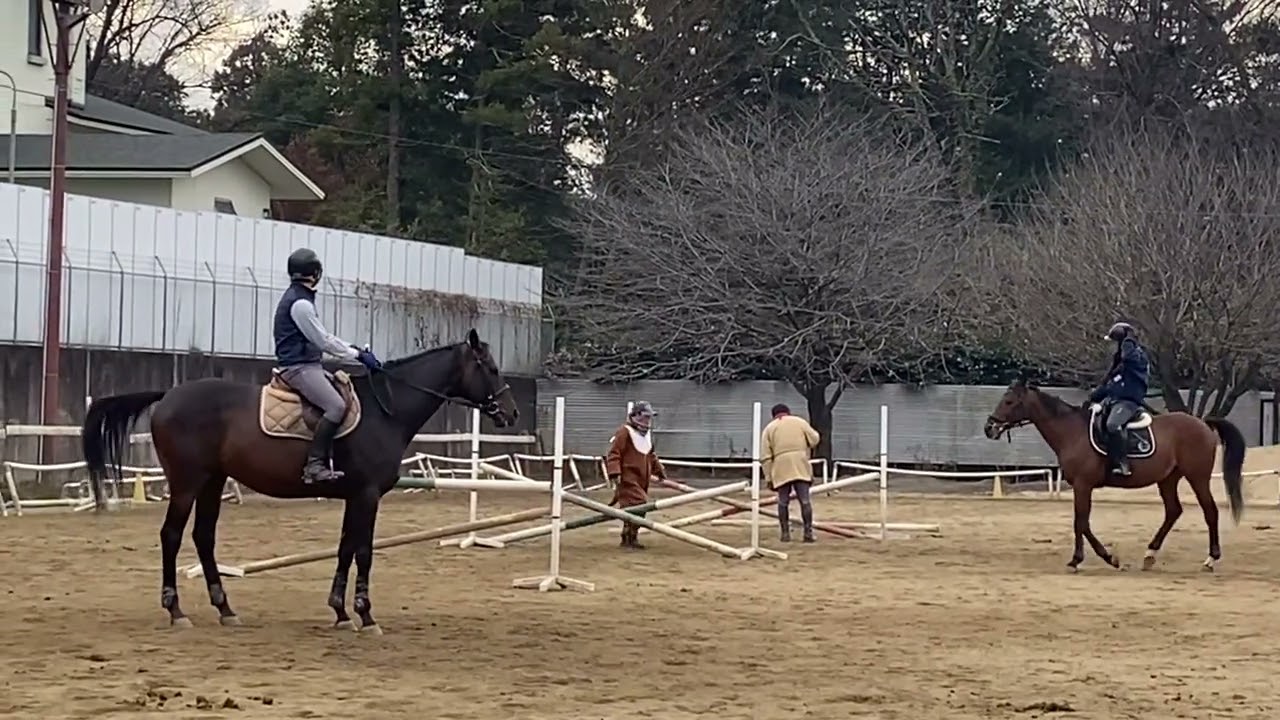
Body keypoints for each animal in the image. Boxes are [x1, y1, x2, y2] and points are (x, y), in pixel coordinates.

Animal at [81, 329, 519, 633]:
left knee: (203, 537)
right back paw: (176, 610)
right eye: (491, 368)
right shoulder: (368, 495)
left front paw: (340, 612)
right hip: (188, 483)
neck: (386, 410)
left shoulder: (354, 496)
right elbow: (364, 552)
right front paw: (365, 616)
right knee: (171, 536)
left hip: (213, 482)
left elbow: (345, 549)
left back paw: (225, 609)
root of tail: (168, 395)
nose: (511, 413)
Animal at [983, 378, 1245, 572]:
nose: (989, 428)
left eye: (1009, 401)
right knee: (1173, 511)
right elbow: (1081, 522)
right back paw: (1150, 555)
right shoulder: (1081, 486)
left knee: (1210, 511)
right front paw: (1095, 558)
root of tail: (1202, 423)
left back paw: (1210, 559)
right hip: (1168, 479)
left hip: (1197, 477)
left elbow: (1081, 522)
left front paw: (1093, 558)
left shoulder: (1083, 484)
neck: (1072, 431)